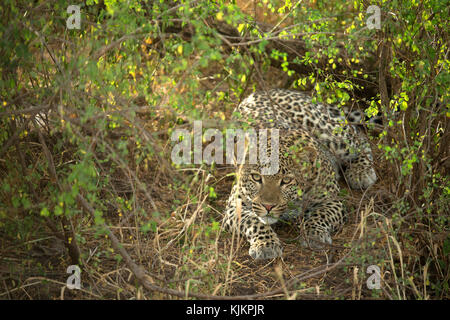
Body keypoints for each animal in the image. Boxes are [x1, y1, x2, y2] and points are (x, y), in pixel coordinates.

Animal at [224, 88, 376, 260]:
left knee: (359, 137)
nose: (268, 206)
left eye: (286, 180)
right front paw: (266, 245)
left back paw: (362, 172)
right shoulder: (234, 207)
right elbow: (254, 223)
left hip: (329, 131)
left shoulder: (333, 200)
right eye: (256, 177)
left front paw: (314, 234)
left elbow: (321, 214)